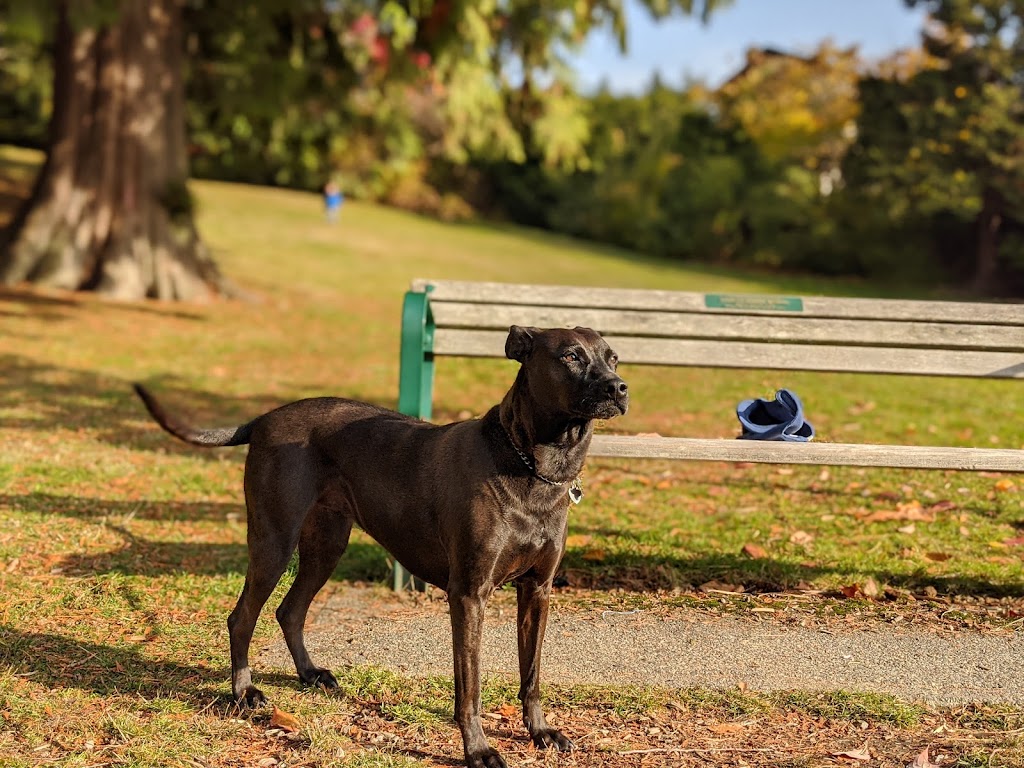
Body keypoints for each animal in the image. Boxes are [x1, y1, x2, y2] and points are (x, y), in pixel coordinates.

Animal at [132, 325, 626, 768]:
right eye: (570, 356)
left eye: (614, 357)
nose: (619, 387)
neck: (533, 467)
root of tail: (267, 418)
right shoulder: (469, 595)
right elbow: (469, 687)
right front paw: (478, 751)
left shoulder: (538, 590)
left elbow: (532, 672)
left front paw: (540, 732)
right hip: (274, 541)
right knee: (242, 617)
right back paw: (244, 693)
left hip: (327, 544)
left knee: (289, 610)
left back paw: (309, 674)